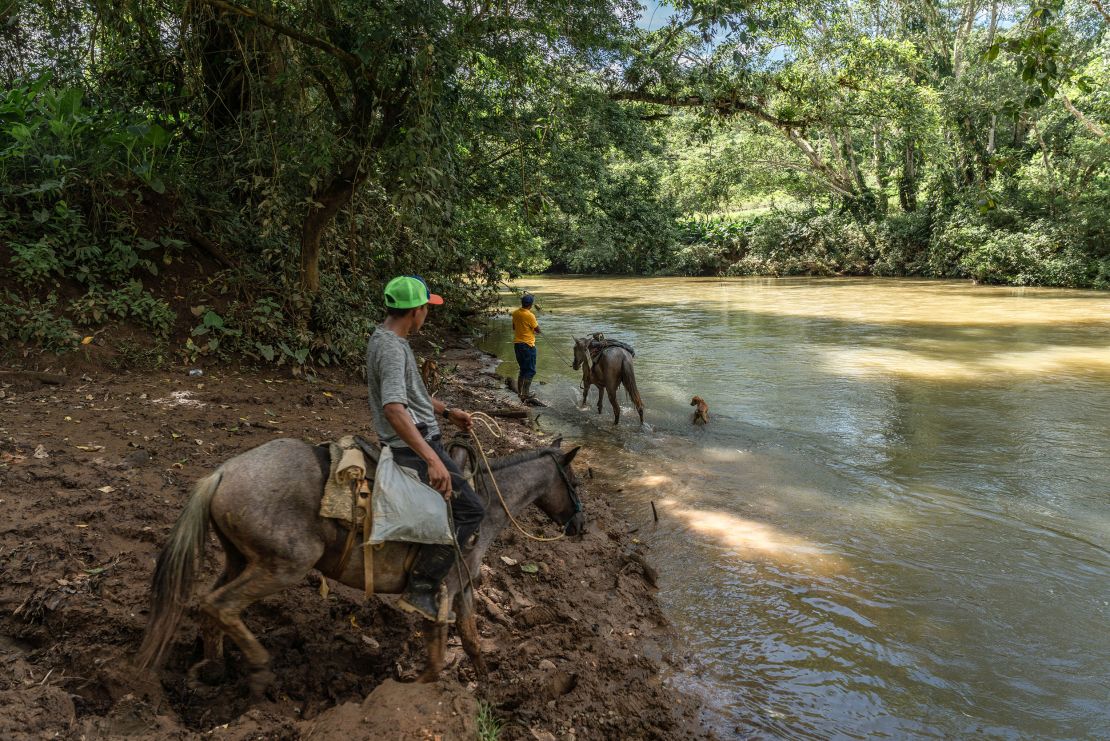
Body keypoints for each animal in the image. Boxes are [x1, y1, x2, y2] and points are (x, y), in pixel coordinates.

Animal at [135, 434, 586, 696]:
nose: (582, 526)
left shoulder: (464, 588)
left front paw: (490, 687)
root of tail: (222, 473)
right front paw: (416, 686)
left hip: (240, 557)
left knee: (208, 604)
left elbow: (473, 640)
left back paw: (213, 669)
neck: (485, 504)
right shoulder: (443, 587)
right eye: (576, 483)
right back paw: (259, 670)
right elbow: (438, 654)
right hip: (283, 566)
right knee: (222, 605)